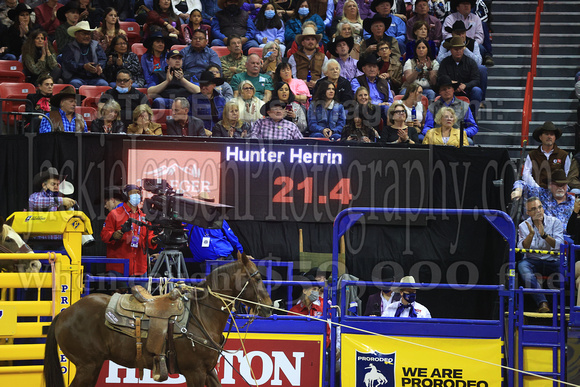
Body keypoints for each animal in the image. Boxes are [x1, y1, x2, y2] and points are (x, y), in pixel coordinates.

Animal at [43, 255, 274, 387]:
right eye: (256, 278)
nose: (269, 307)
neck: (201, 316)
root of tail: (64, 314)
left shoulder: (209, 371)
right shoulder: (195, 372)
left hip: (92, 366)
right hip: (87, 366)